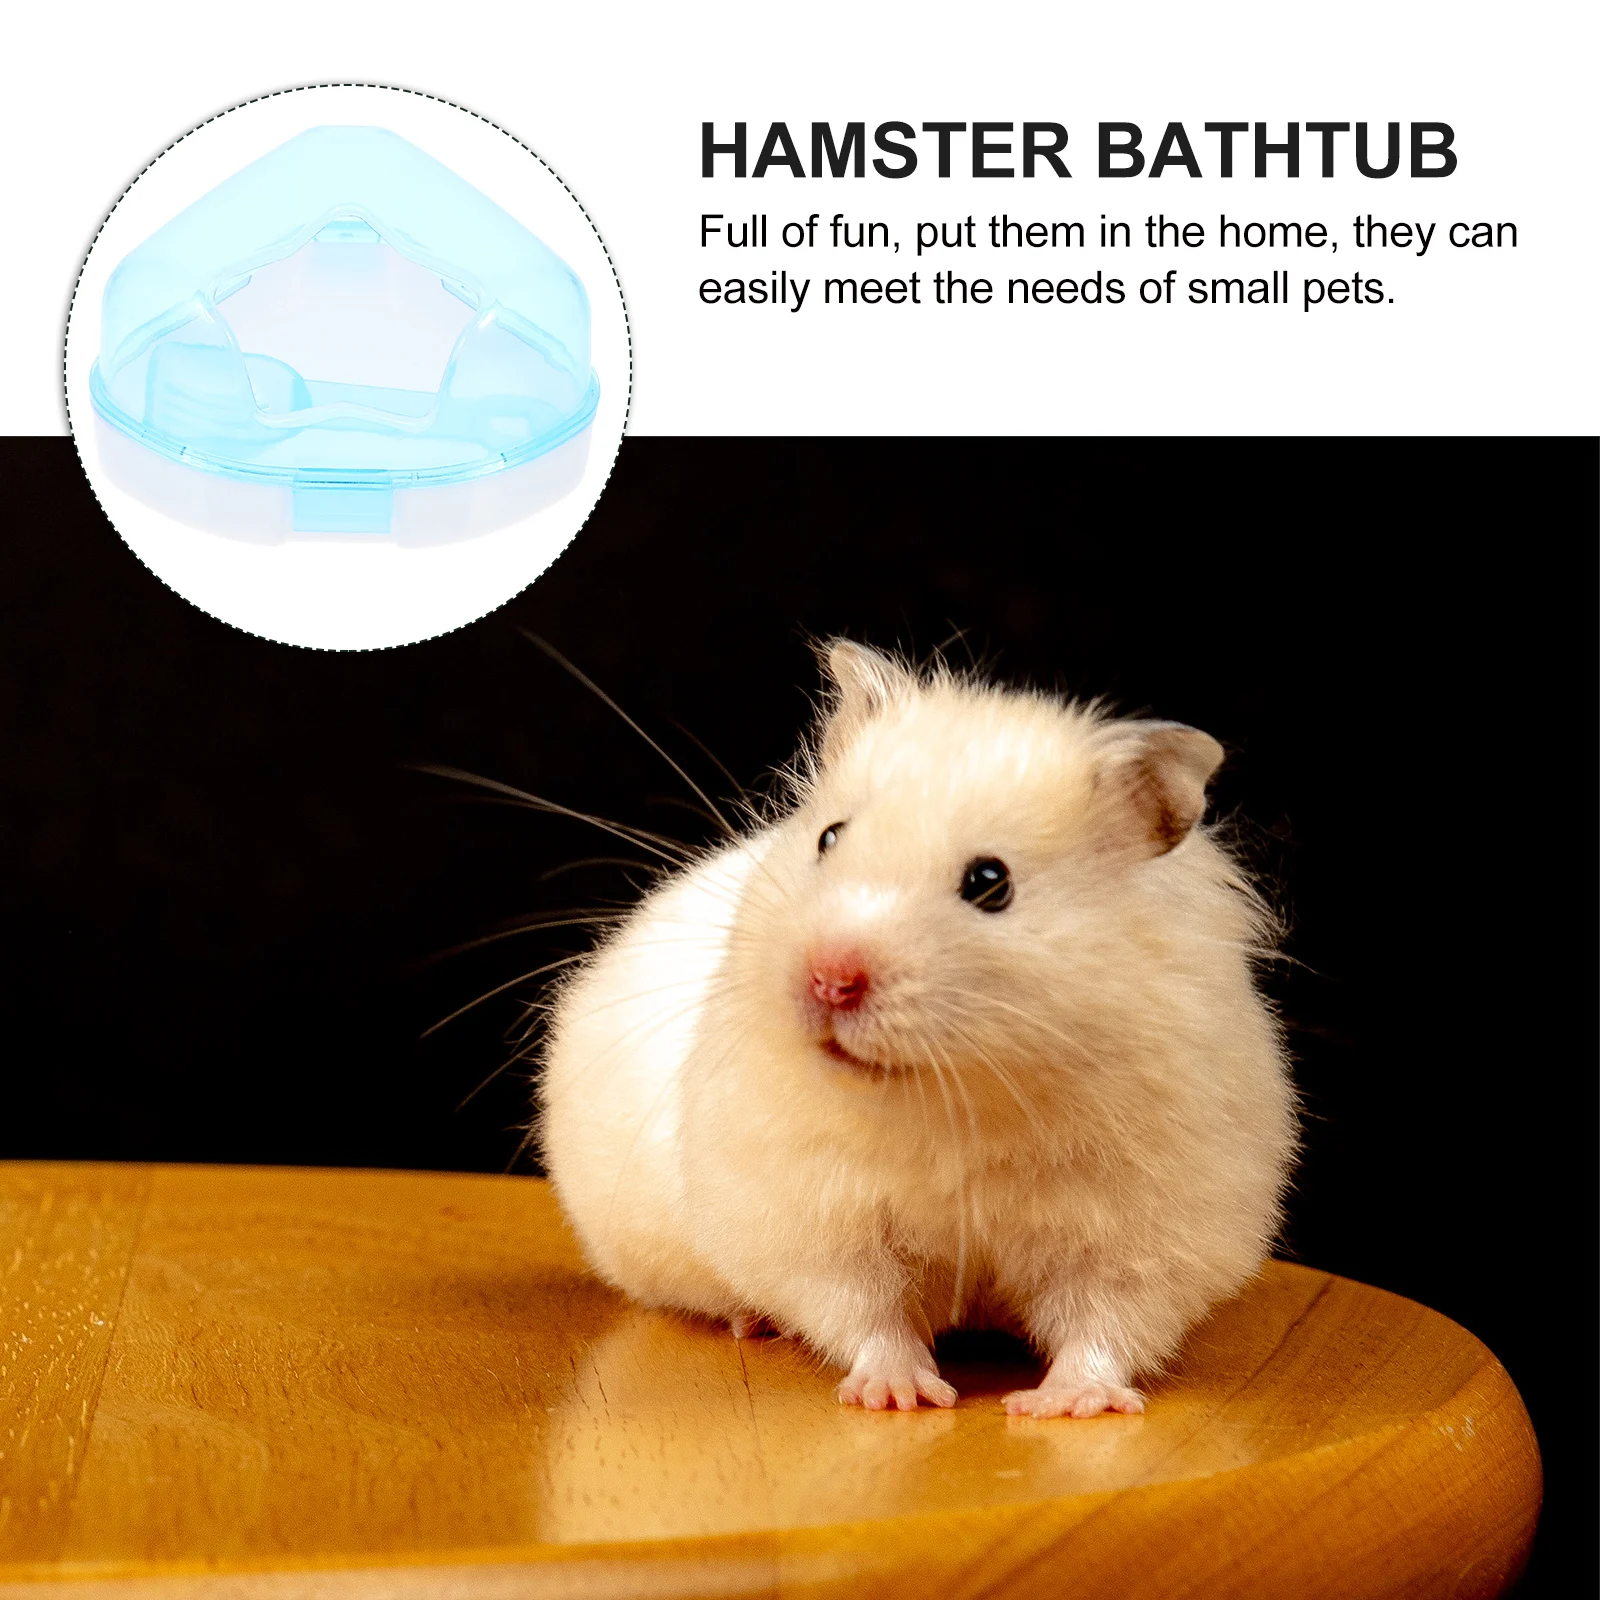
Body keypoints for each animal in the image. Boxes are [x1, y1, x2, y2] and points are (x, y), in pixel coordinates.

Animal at [539, 641, 1296, 1418]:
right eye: (829, 837)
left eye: (990, 883)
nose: (829, 979)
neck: (960, 1096)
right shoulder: (816, 1220)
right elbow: (867, 1312)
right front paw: (900, 1395)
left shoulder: (1147, 1233)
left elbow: (1106, 1322)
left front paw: (1063, 1404)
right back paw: (753, 1322)